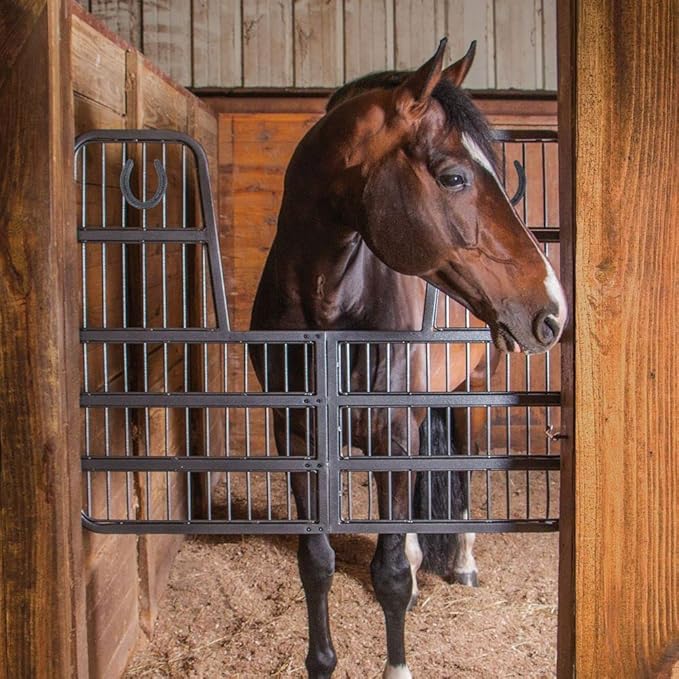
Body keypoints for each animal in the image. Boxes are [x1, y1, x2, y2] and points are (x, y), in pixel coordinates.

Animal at [250, 39, 567, 679]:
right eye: (454, 176)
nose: (552, 310)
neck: (328, 311)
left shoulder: (394, 433)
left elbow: (390, 573)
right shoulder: (298, 441)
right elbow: (316, 562)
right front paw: (322, 662)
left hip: (471, 399)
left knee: (463, 478)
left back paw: (462, 564)